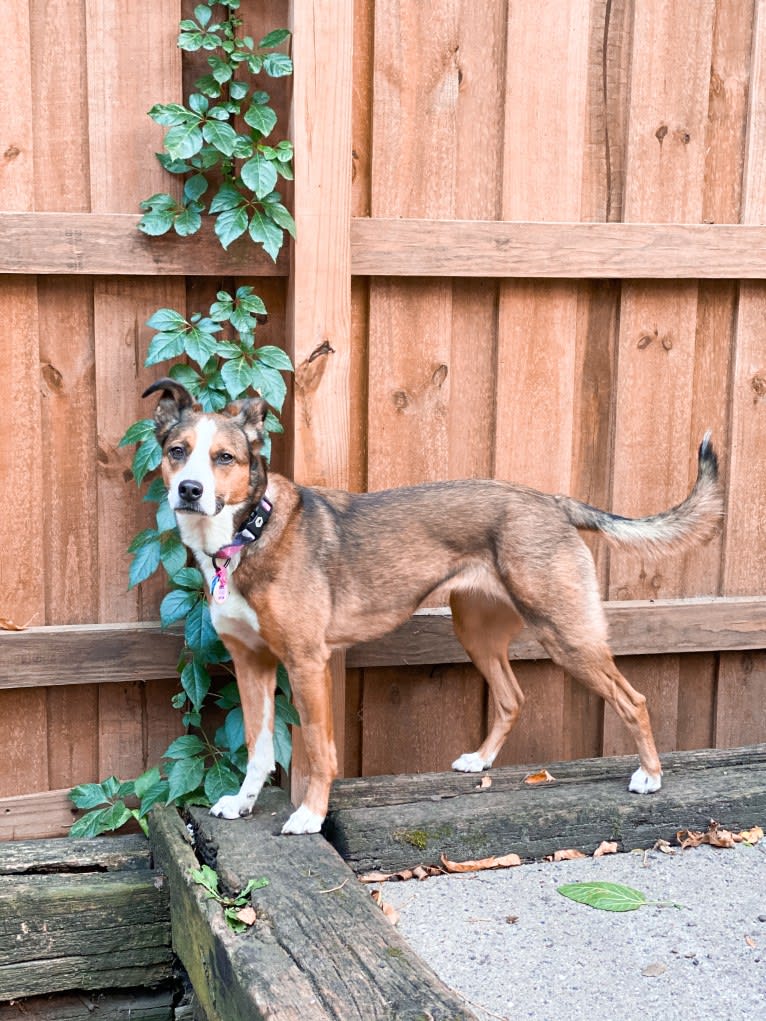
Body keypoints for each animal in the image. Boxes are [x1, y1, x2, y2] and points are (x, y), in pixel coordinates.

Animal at [144, 379, 727, 833]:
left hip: (568, 634)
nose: (190, 490)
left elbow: (320, 750)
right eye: (177, 451)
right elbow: (259, 749)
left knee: (634, 699)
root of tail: (553, 503)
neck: (251, 534)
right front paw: (242, 803)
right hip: (478, 631)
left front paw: (311, 815)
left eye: (225, 458)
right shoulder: (252, 664)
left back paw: (651, 776)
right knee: (512, 698)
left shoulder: (307, 664)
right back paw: (482, 760)